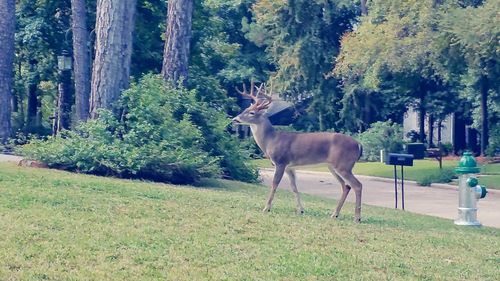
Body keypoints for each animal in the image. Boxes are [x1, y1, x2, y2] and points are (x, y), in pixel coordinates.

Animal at [230, 80, 364, 221]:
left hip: (344, 165)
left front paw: (266, 208)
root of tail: (359, 144)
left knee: (357, 185)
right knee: (346, 186)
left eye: (252, 112)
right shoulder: (290, 167)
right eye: (245, 109)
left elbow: (274, 184)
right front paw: (301, 210)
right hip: (333, 166)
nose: (235, 119)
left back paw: (357, 217)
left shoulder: (280, 161)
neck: (271, 140)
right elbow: (294, 187)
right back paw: (335, 214)